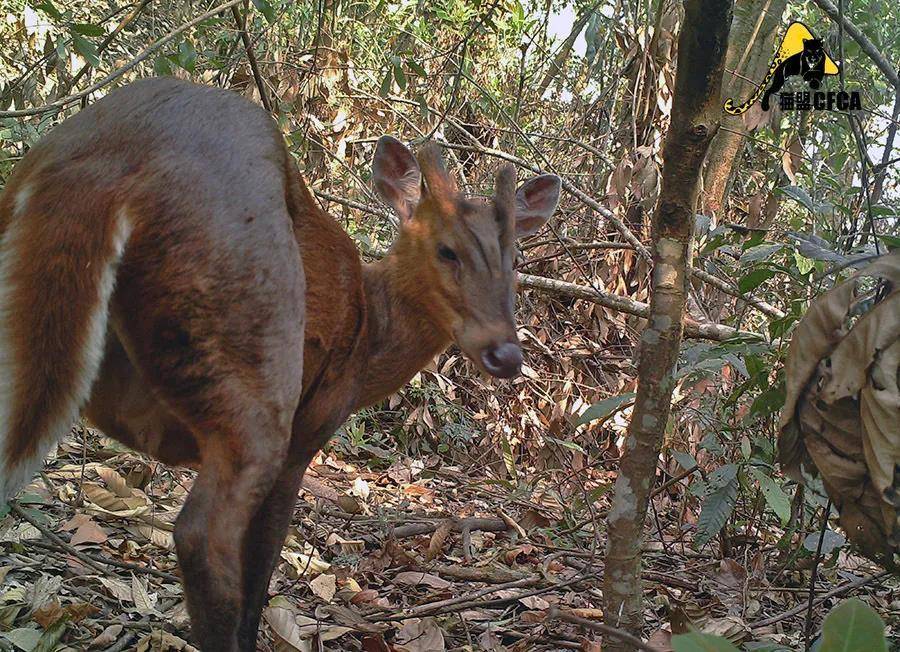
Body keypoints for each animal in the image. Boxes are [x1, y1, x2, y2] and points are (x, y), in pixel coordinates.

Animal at [0, 77, 560, 652]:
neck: (369, 331)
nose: (506, 353)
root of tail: (106, 162)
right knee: (201, 536)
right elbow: (261, 567)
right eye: (446, 251)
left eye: (516, 259)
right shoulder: (307, 432)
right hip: (255, 362)